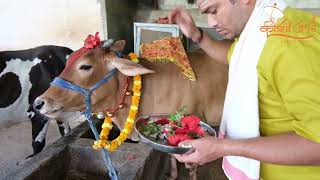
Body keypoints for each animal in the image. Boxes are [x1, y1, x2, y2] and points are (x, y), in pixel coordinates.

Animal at [34, 39, 228, 179]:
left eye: (86, 66)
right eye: (67, 62)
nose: (38, 103)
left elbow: (191, 166)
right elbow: (171, 155)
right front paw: (172, 175)